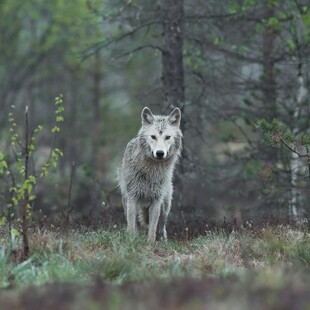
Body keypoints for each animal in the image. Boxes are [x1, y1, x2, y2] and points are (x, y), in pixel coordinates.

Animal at [118, 108, 182, 243]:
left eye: (167, 137)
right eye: (153, 136)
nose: (160, 153)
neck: (151, 171)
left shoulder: (157, 201)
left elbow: (152, 228)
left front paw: (150, 244)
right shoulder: (132, 198)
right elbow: (131, 227)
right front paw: (131, 242)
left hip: (165, 206)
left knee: (161, 227)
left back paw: (163, 241)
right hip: (126, 201)